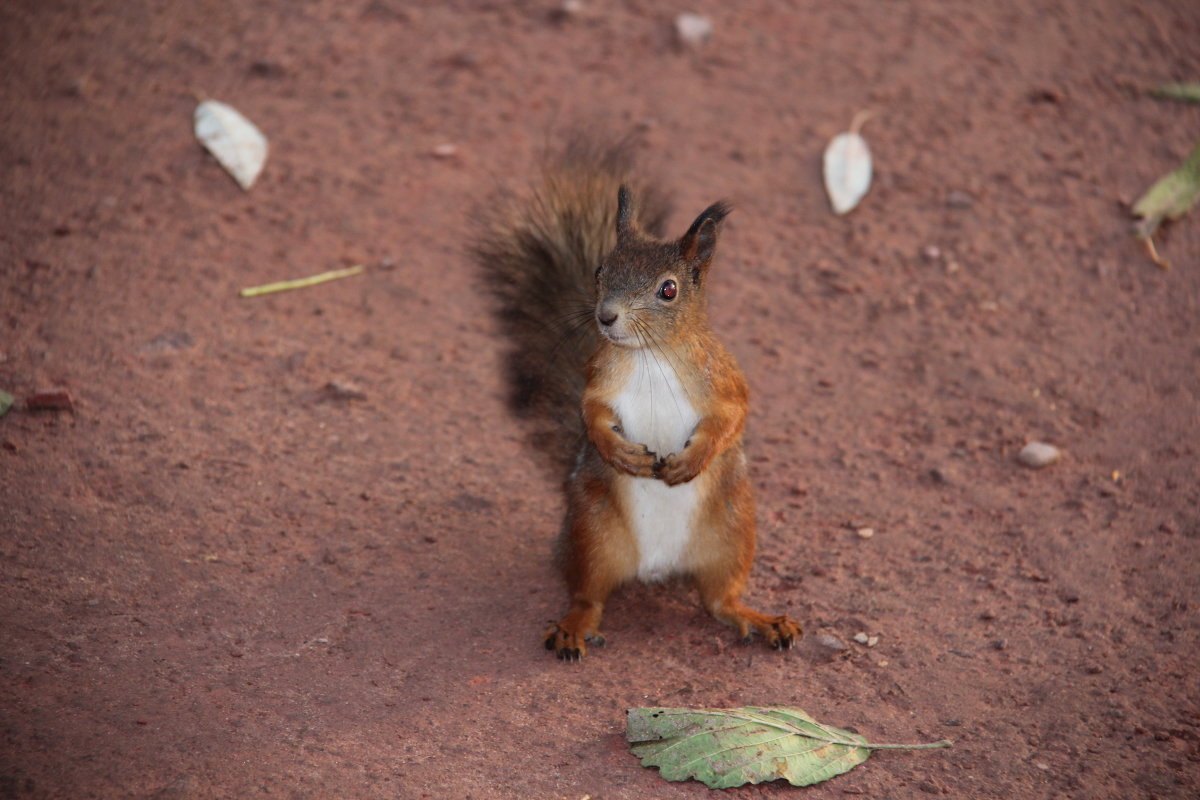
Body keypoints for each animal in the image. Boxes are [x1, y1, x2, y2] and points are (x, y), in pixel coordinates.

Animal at [472, 137, 801, 662]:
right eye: (600, 269)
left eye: (668, 289)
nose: (605, 317)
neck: (650, 355)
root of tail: (656, 568)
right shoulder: (597, 379)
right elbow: (589, 413)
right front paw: (621, 452)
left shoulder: (724, 378)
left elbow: (734, 414)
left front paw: (692, 460)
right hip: (593, 533)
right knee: (589, 596)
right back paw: (573, 628)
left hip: (731, 533)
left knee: (720, 601)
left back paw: (760, 619)